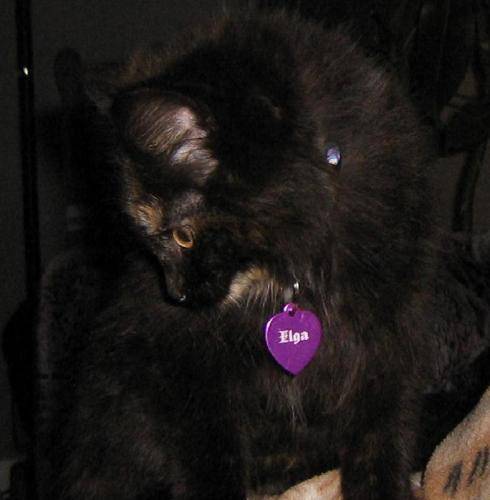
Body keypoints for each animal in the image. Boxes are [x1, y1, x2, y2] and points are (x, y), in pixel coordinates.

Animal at [50, 8, 437, 500]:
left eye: (183, 236)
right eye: (152, 238)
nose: (175, 295)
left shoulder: (389, 347)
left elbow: (381, 445)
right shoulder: (182, 366)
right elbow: (212, 463)